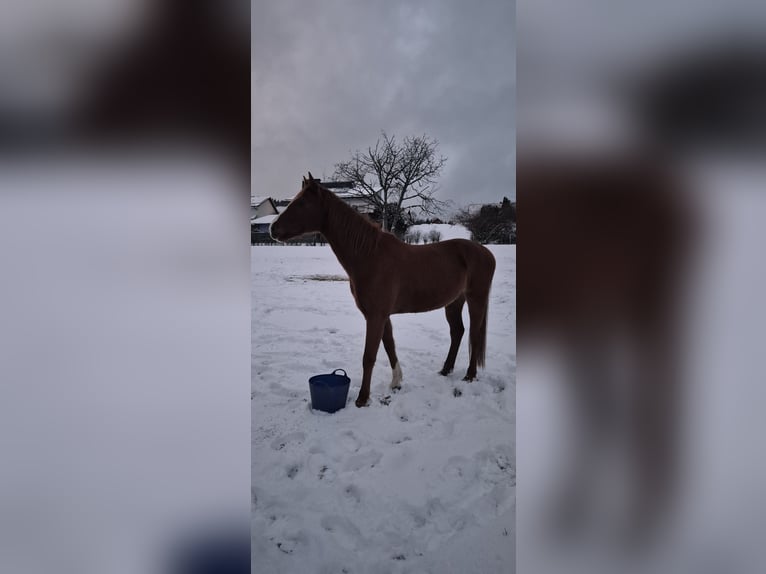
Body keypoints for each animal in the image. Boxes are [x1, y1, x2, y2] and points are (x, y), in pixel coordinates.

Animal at [270, 173, 496, 407]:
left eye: (302, 203)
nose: (272, 228)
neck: (371, 255)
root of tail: (485, 252)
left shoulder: (376, 316)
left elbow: (369, 356)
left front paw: (362, 398)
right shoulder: (381, 315)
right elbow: (389, 346)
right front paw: (396, 382)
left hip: (476, 300)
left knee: (474, 335)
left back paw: (470, 375)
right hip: (453, 302)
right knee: (457, 332)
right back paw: (445, 370)